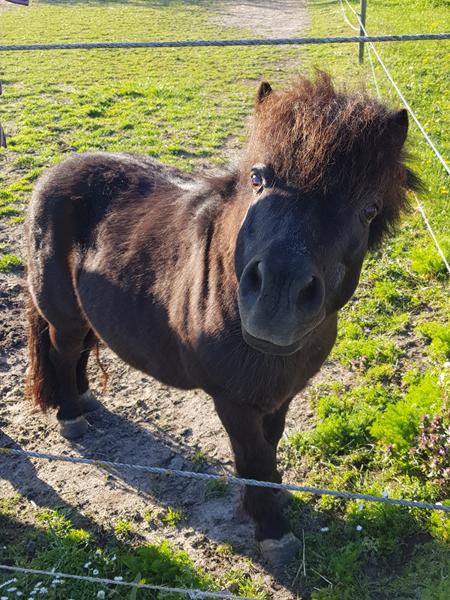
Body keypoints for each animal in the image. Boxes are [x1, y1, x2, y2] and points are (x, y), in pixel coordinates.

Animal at [24, 72, 418, 564]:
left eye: (369, 210)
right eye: (258, 178)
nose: (278, 299)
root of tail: (55, 171)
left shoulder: (281, 394)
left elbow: (270, 448)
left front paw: (268, 498)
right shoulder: (234, 402)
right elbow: (252, 458)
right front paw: (272, 530)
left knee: (78, 353)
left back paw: (84, 399)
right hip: (63, 316)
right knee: (62, 354)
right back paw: (71, 417)